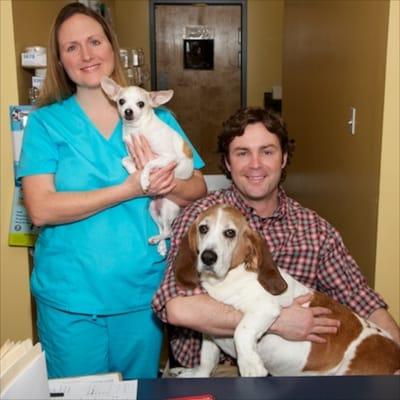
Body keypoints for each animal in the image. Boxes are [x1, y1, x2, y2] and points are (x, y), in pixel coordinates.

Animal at [174, 205, 400, 376]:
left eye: (230, 233)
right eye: (203, 228)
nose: (207, 257)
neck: (228, 280)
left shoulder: (265, 309)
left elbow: (241, 331)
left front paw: (250, 365)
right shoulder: (210, 332)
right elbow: (207, 359)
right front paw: (197, 373)